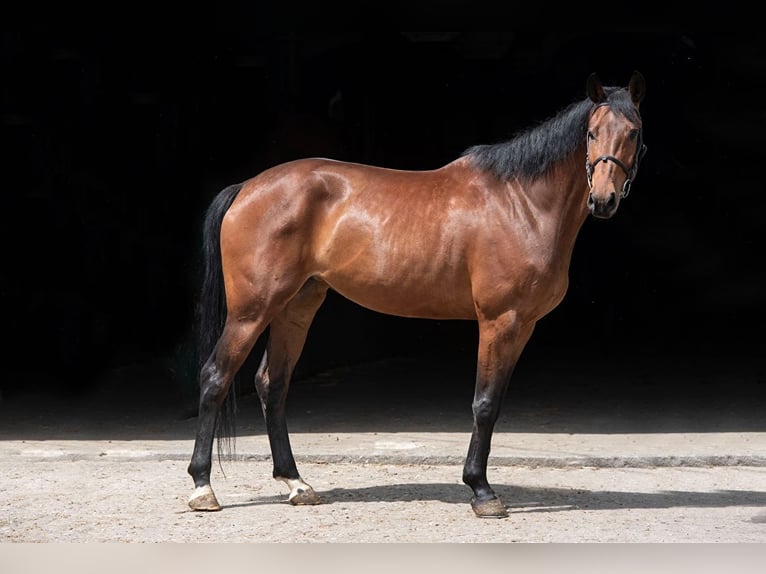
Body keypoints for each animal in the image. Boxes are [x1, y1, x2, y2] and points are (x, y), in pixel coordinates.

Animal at [187, 71, 647, 518]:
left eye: (634, 132)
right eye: (591, 133)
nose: (603, 200)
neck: (522, 203)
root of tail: (247, 187)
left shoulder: (524, 325)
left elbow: (495, 404)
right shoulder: (500, 320)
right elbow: (484, 404)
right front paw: (481, 491)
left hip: (295, 307)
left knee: (272, 384)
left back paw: (296, 483)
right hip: (252, 310)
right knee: (215, 377)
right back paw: (202, 487)